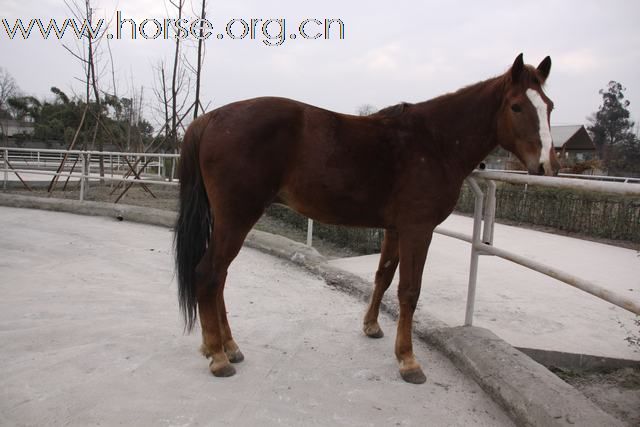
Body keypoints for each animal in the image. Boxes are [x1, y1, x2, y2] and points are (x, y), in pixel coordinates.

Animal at [175, 52, 560, 384]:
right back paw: (218, 356)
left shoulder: (395, 229)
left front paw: (372, 327)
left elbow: (384, 277)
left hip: (229, 220)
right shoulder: (418, 230)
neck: (434, 142)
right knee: (208, 274)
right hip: (237, 217)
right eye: (516, 106)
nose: (545, 166)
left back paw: (227, 346)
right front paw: (409, 361)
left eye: (550, 106)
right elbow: (409, 290)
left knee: (219, 277)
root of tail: (211, 118)